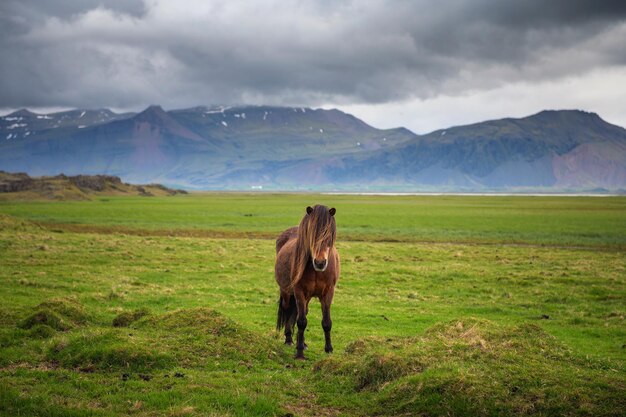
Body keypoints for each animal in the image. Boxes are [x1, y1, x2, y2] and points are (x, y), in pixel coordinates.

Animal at [276, 204, 338, 358]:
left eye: (329, 235)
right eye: (311, 234)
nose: (320, 263)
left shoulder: (328, 293)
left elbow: (326, 322)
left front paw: (329, 349)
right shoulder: (299, 292)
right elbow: (301, 321)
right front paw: (299, 353)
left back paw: (302, 343)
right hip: (286, 292)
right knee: (288, 310)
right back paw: (289, 339)